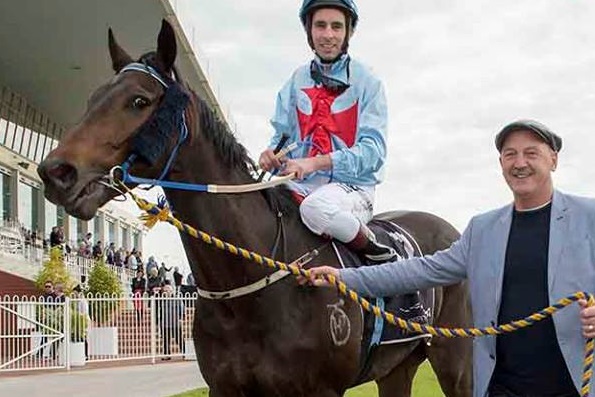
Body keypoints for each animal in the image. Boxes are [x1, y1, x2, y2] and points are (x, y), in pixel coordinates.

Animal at [38, 19, 470, 396]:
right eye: (93, 98)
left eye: (139, 100)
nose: (55, 172)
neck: (246, 289)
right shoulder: (225, 388)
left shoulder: (320, 390)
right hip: (398, 367)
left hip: (455, 360)